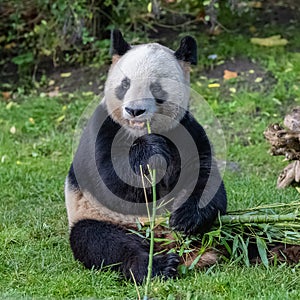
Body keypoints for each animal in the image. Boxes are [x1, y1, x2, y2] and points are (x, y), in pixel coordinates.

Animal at [65, 29, 225, 284]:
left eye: (156, 87)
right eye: (125, 84)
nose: (134, 111)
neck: (140, 131)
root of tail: (161, 239)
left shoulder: (185, 128)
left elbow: (204, 175)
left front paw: (185, 218)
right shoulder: (103, 128)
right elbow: (110, 180)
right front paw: (149, 151)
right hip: (99, 217)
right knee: (101, 242)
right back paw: (156, 266)